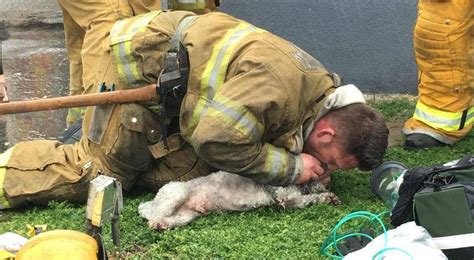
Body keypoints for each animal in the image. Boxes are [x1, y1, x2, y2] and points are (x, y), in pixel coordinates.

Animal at [138, 172, 340, 231]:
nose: (328, 181)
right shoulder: (286, 197)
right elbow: (308, 198)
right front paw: (326, 195)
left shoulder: (294, 200)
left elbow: (310, 198)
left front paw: (329, 197)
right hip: (175, 195)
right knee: (154, 214)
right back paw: (154, 222)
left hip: (186, 215)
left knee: (170, 220)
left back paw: (161, 226)